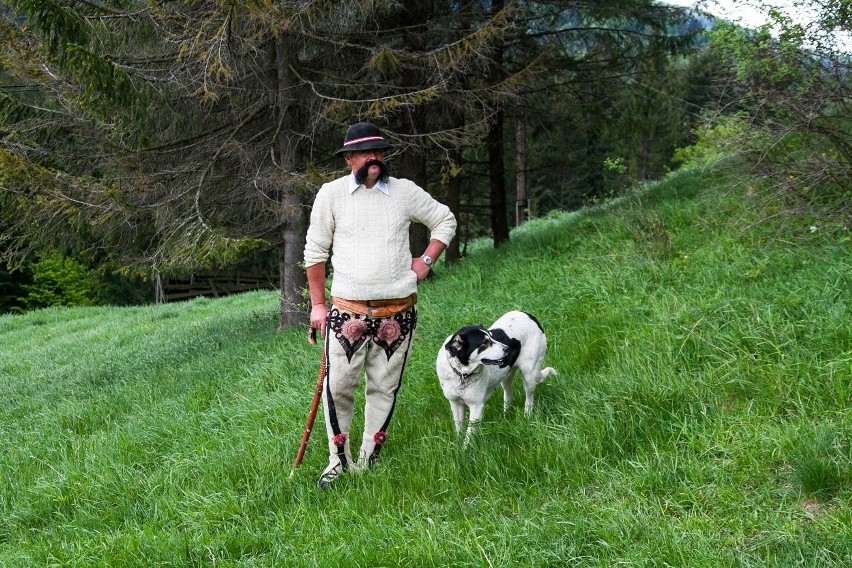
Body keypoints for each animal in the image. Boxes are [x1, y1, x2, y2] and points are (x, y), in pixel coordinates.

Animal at [436, 310, 556, 444]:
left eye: (491, 337)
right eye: (484, 343)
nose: (508, 348)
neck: (462, 373)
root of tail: (529, 315)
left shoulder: (476, 406)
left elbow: (468, 435)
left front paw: (465, 448)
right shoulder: (455, 403)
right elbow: (459, 429)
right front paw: (457, 444)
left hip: (529, 374)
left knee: (529, 400)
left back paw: (527, 417)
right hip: (506, 375)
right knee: (508, 395)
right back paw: (505, 416)